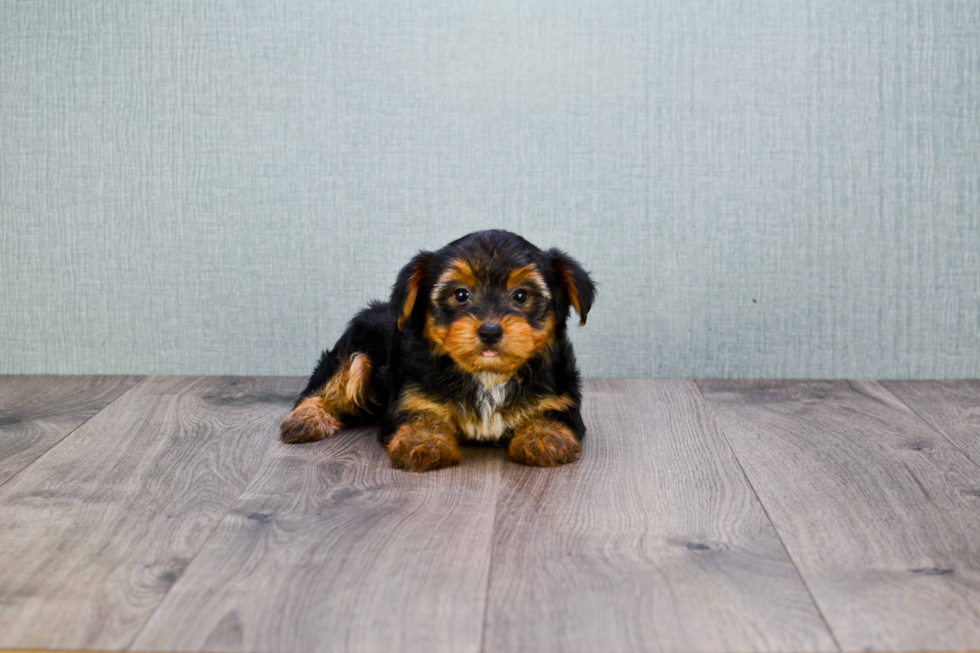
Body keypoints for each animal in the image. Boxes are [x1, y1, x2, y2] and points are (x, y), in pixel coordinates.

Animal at [280, 232, 592, 472]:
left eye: (521, 295)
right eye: (461, 295)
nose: (490, 331)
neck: (487, 375)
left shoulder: (560, 396)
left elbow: (550, 414)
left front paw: (544, 438)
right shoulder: (410, 395)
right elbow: (420, 413)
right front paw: (423, 441)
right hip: (357, 345)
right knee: (330, 381)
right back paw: (306, 419)